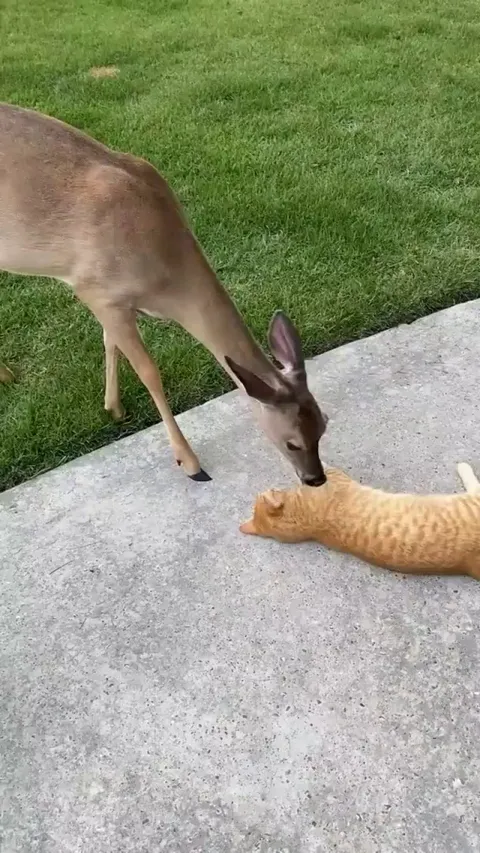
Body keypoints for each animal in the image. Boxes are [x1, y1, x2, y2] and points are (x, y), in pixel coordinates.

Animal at [0, 103, 328, 485]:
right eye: (292, 442)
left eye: (323, 425)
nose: (316, 479)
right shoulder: (95, 289)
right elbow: (148, 371)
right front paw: (190, 463)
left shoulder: (110, 301)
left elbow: (109, 341)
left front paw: (113, 407)